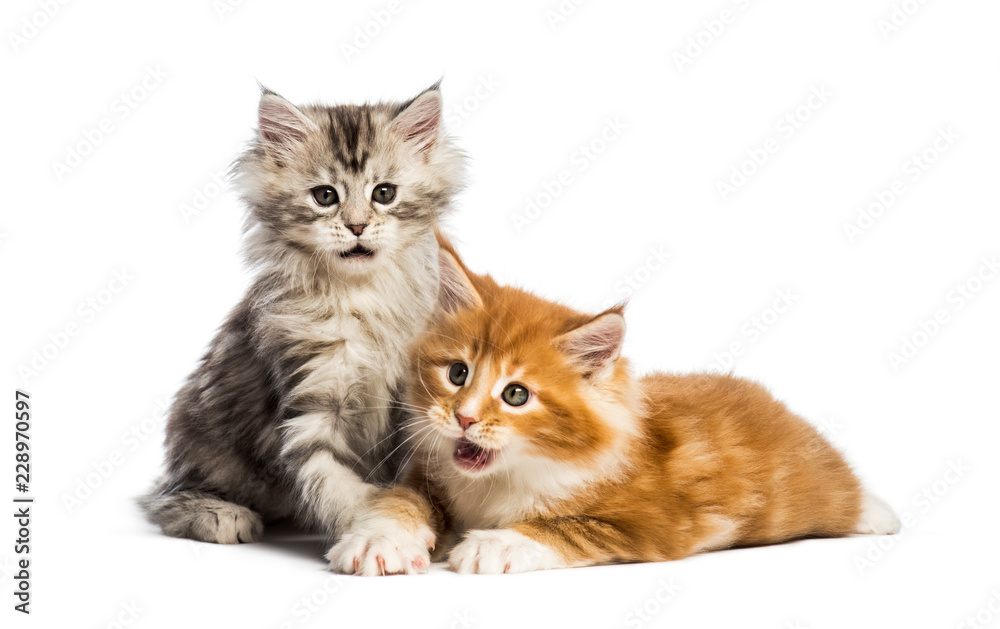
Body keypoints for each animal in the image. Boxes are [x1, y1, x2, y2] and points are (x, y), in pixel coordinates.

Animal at [140, 86, 464, 548]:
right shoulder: (309, 401)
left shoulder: (415, 401)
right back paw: (218, 513)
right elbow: (329, 481)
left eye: (384, 193)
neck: (362, 297)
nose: (357, 226)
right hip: (202, 438)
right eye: (325, 196)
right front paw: (369, 535)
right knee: (163, 498)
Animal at [326, 244, 900, 576]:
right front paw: (378, 540)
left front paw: (495, 545)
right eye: (458, 374)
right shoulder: (427, 474)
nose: (464, 417)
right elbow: (400, 500)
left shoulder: (653, 523)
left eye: (516, 395)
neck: (497, 480)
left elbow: (566, 527)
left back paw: (875, 514)